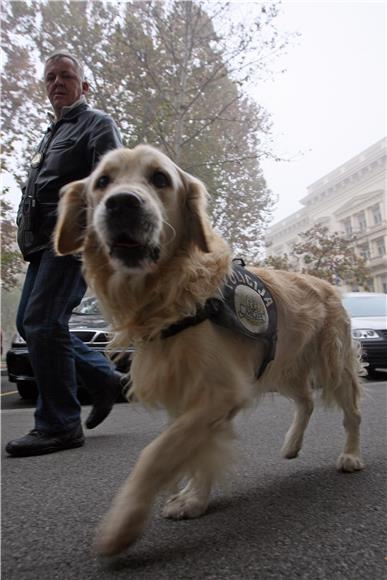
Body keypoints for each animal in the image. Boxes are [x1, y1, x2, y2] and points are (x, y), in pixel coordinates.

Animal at [53, 145, 366, 556]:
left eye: (160, 178)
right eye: (102, 181)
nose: (121, 203)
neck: (171, 293)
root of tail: (328, 283)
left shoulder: (220, 390)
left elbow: (157, 452)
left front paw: (125, 523)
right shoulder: (191, 391)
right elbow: (192, 448)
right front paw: (192, 497)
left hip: (332, 362)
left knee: (351, 413)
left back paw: (351, 455)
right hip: (278, 367)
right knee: (306, 401)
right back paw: (291, 444)